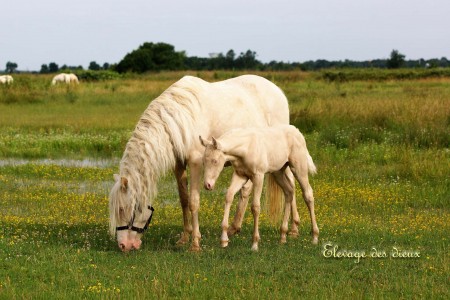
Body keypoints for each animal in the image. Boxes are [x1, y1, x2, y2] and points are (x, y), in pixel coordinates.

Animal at [108, 74, 292, 251]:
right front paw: (184, 238)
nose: (123, 246)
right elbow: (184, 199)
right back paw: (234, 229)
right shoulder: (179, 164)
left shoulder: (195, 162)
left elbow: (194, 202)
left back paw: (292, 230)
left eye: (122, 209)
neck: (180, 119)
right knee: (247, 191)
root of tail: (278, 91)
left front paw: (195, 243)